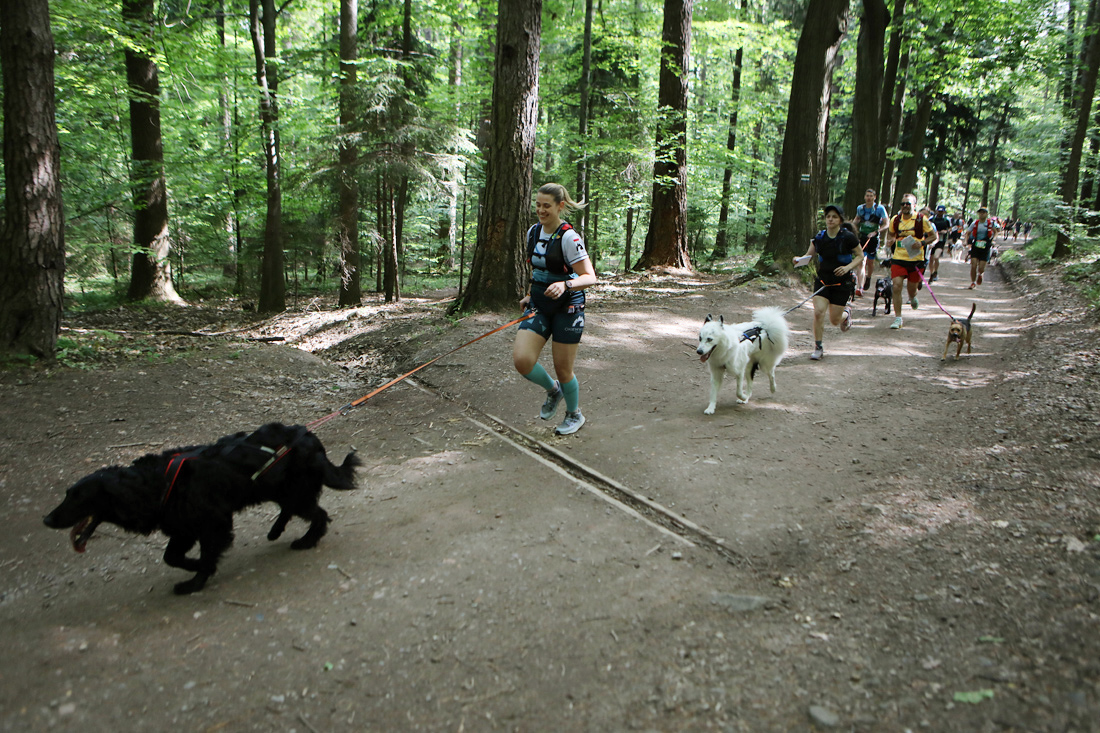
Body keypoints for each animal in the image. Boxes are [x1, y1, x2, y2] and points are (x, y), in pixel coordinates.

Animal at [43, 423, 361, 595]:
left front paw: (195, 580)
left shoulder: (212, 523)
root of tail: (308, 436)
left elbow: (203, 555)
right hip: (279, 489)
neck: (153, 484)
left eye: (76, 497)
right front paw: (195, 566)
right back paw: (275, 530)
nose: (46, 519)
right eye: (67, 494)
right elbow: (171, 556)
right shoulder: (183, 527)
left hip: (293, 492)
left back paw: (306, 540)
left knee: (318, 515)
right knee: (295, 510)